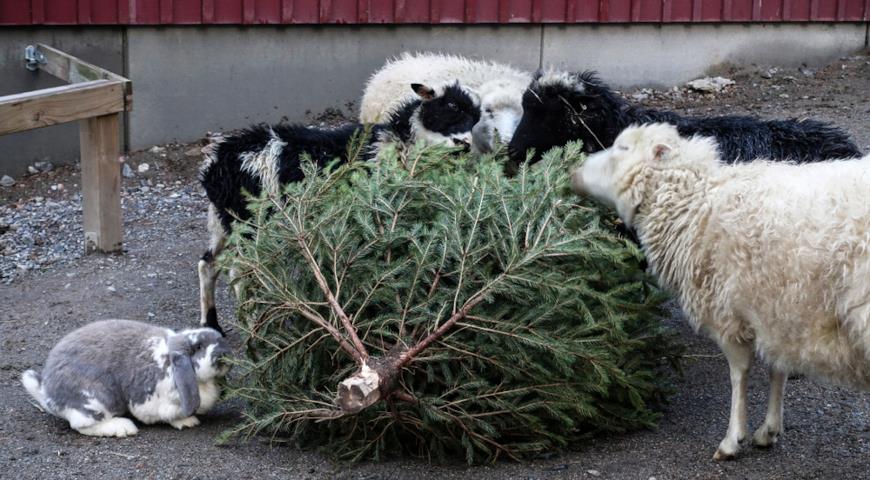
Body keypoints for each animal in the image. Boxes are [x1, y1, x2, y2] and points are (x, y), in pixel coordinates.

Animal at [199, 80, 484, 334]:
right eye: (450, 106)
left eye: (476, 117)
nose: (465, 144)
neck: (400, 145)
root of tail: (216, 165)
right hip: (250, 224)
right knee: (240, 273)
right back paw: (256, 329)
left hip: (223, 221)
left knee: (208, 264)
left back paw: (212, 325)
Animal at [572, 123, 870, 462]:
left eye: (622, 149)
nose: (573, 171)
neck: (696, 204)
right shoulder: (776, 306)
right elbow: (776, 369)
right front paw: (769, 430)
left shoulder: (727, 310)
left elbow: (738, 374)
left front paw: (732, 439)